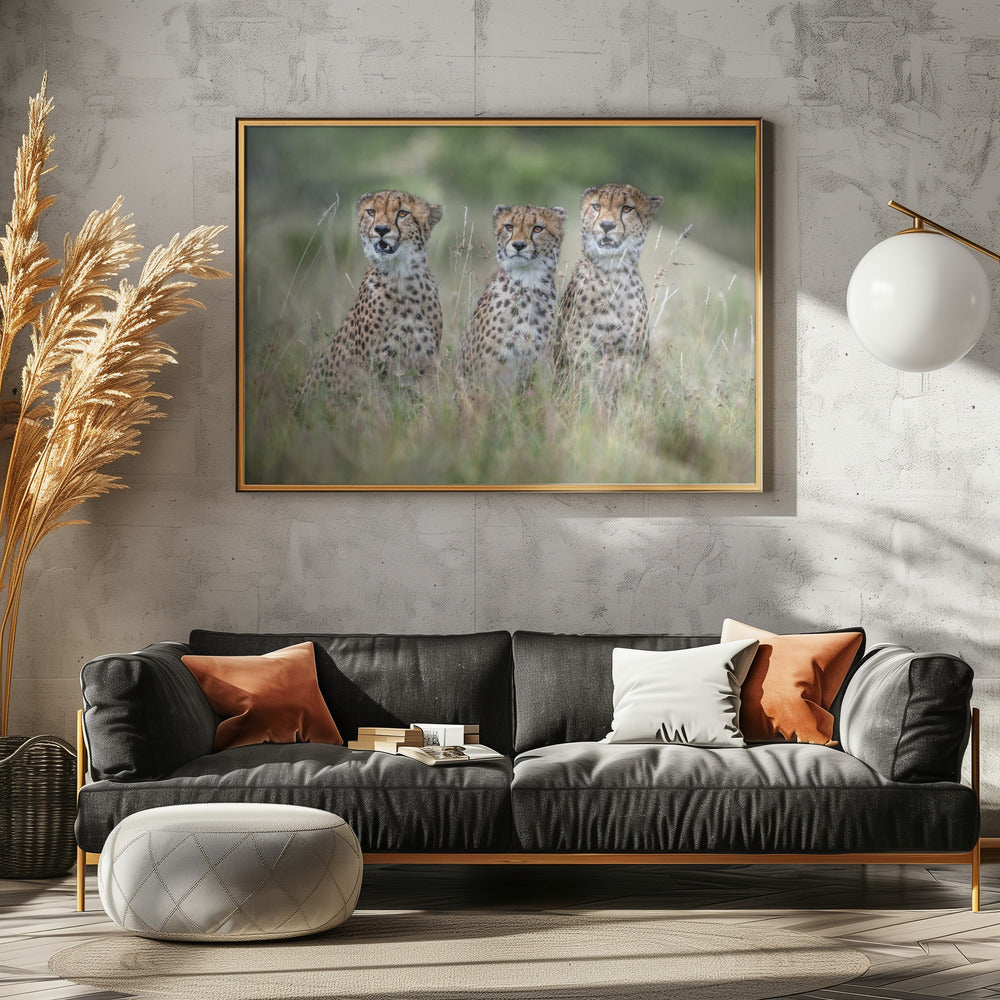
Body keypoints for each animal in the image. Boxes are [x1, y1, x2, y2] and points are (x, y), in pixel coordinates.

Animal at [295, 189, 444, 407]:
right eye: (371, 212)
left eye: (403, 213)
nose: (381, 229)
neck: (401, 276)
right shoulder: (376, 367)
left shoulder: (425, 365)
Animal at [554, 183, 664, 388]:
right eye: (597, 206)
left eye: (627, 209)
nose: (606, 225)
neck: (613, 272)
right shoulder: (580, 353)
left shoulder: (630, 357)